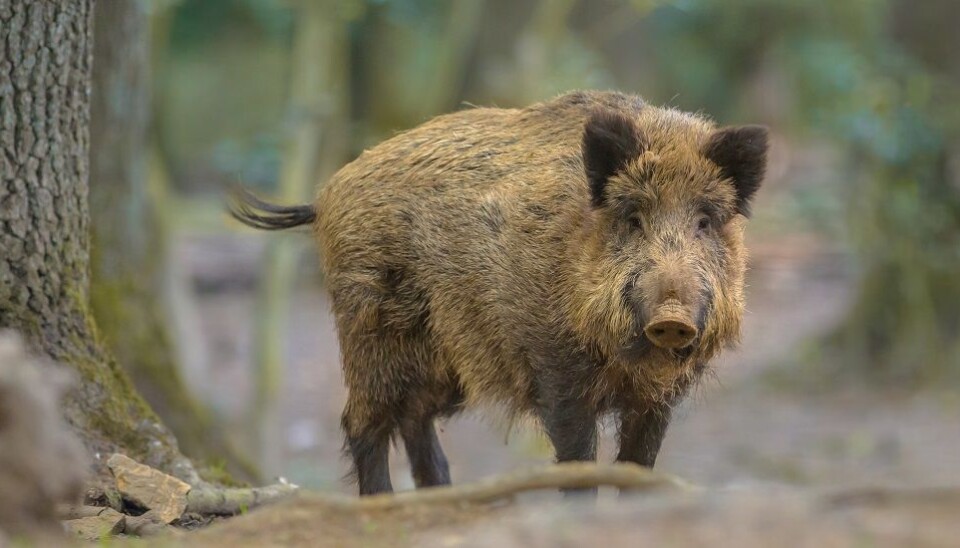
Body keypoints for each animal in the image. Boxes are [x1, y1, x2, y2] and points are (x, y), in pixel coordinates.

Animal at [229, 90, 768, 496]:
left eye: (704, 221)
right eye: (633, 218)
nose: (671, 316)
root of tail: (325, 196)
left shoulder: (659, 398)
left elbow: (637, 467)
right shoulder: (556, 368)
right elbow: (578, 464)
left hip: (446, 362)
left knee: (414, 420)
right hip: (370, 333)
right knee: (361, 423)